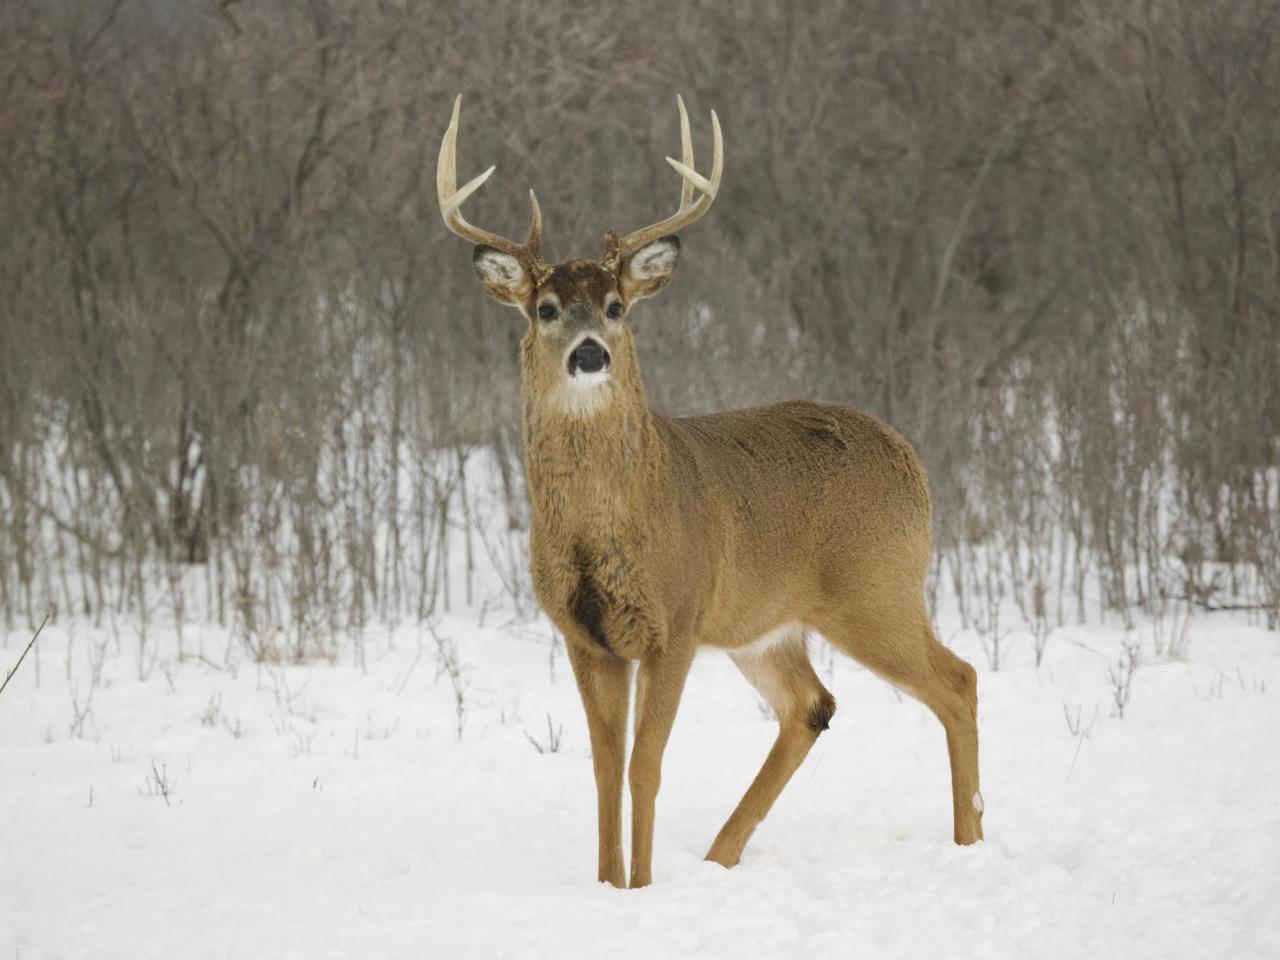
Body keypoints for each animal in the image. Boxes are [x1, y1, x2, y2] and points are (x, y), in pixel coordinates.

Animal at [435, 96, 983, 885]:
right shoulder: (584, 635)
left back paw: (970, 843)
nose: (590, 353)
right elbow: (604, 771)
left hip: (876, 588)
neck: (606, 525)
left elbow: (646, 768)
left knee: (958, 681)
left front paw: (640, 887)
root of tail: (911, 458)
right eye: (545, 308)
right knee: (812, 704)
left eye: (615, 305)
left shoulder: (678, 619)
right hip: (767, 623)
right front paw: (608, 885)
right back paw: (722, 858)